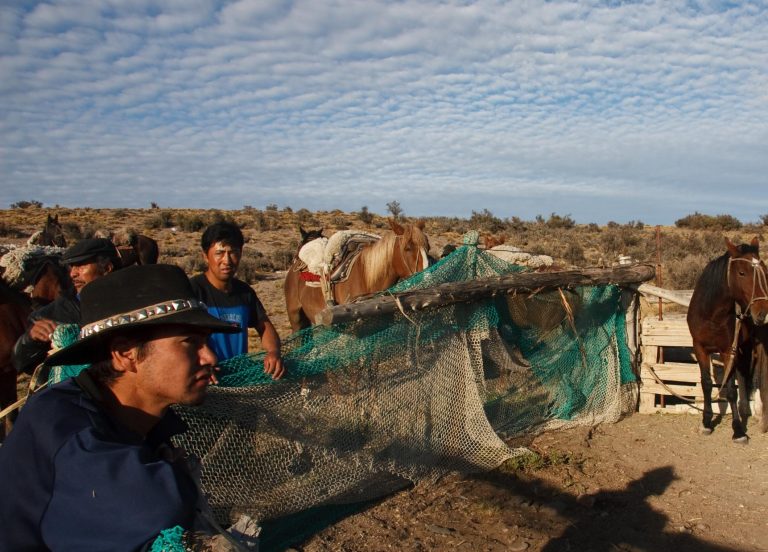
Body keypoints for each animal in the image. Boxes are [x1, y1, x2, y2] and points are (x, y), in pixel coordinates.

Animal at [688, 237, 768, 444]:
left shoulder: (726, 351)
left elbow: (731, 390)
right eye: (741, 273)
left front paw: (738, 430)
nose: (763, 313)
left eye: (765, 271)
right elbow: (707, 384)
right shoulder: (700, 348)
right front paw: (706, 422)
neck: (711, 315)